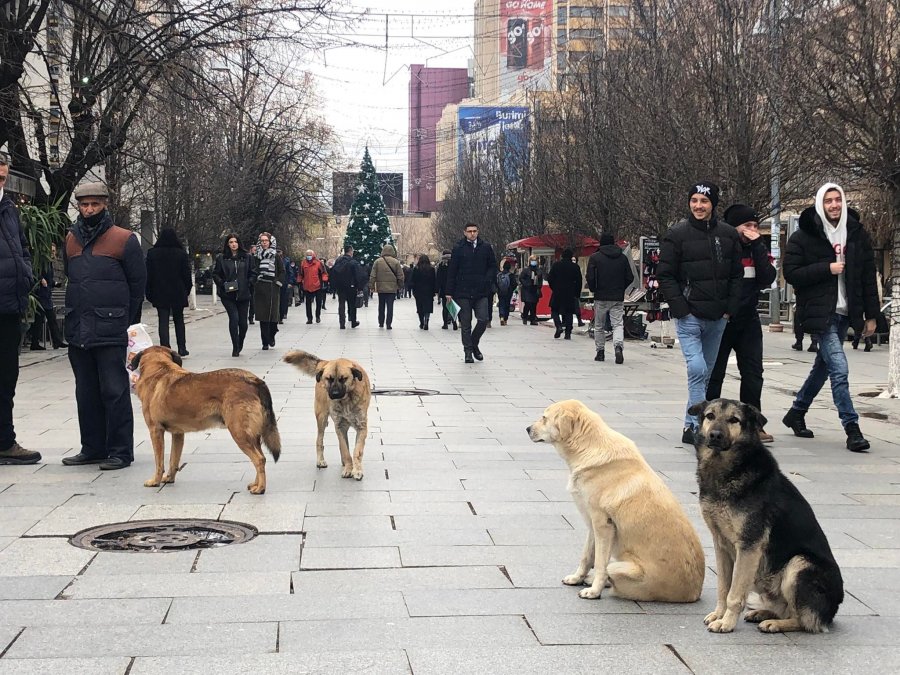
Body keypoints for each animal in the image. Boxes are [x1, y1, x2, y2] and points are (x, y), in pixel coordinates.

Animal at [130, 346, 282, 494]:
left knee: (259, 459)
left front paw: (155, 481)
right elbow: (173, 459)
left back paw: (260, 488)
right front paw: (169, 478)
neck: (159, 369)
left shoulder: (155, 431)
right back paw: (256, 484)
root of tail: (255, 380)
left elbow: (159, 462)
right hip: (252, 434)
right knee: (261, 457)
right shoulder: (178, 434)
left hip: (239, 433)